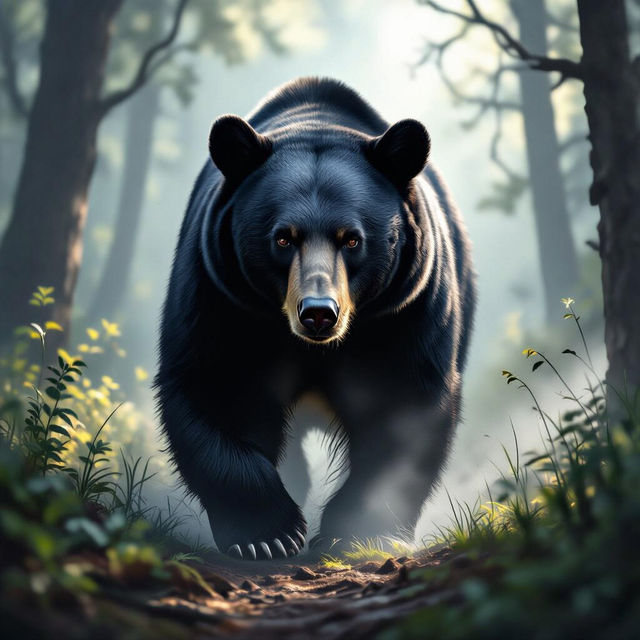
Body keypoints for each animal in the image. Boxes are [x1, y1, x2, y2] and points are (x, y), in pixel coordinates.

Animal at [155, 77, 476, 560]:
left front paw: (358, 531)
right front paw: (267, 535)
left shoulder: (405, 309)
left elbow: (404, 405)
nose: (319, 314)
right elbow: (214, 386)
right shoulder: (220, 295)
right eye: (283, 238)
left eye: (352, 239)